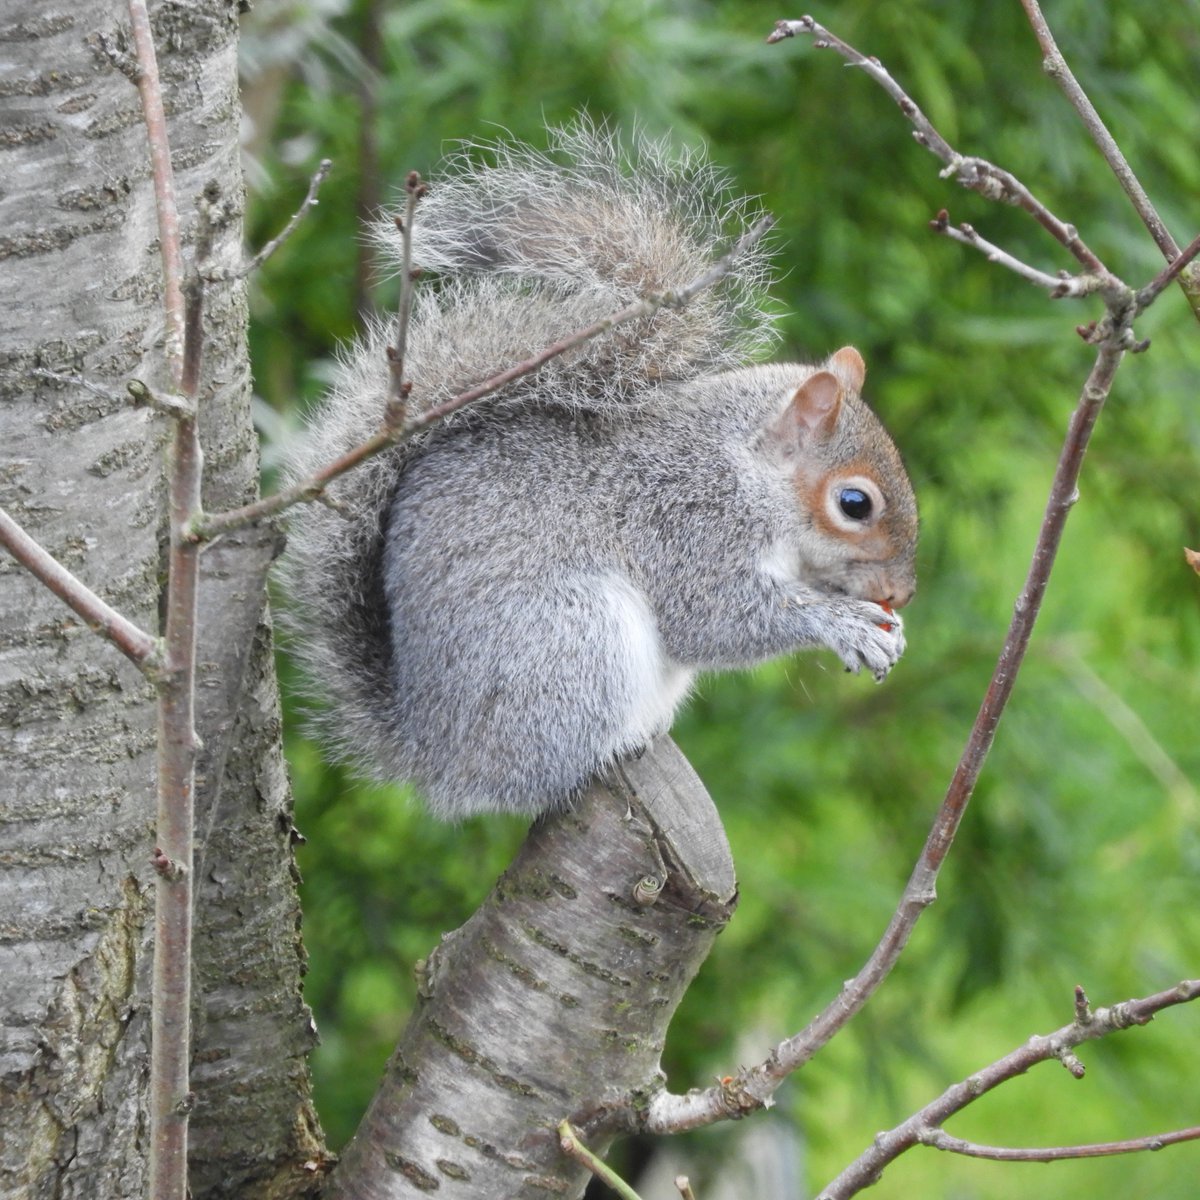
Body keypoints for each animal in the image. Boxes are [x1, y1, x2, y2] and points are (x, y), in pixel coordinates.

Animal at [282, 122, 918, 821]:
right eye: (855, 504)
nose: (902, 593)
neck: (744, 469)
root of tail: (436, 754)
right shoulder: (685, 522)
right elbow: (715, 617)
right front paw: (845, 624)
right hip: (574, 640)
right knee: (546, 774)